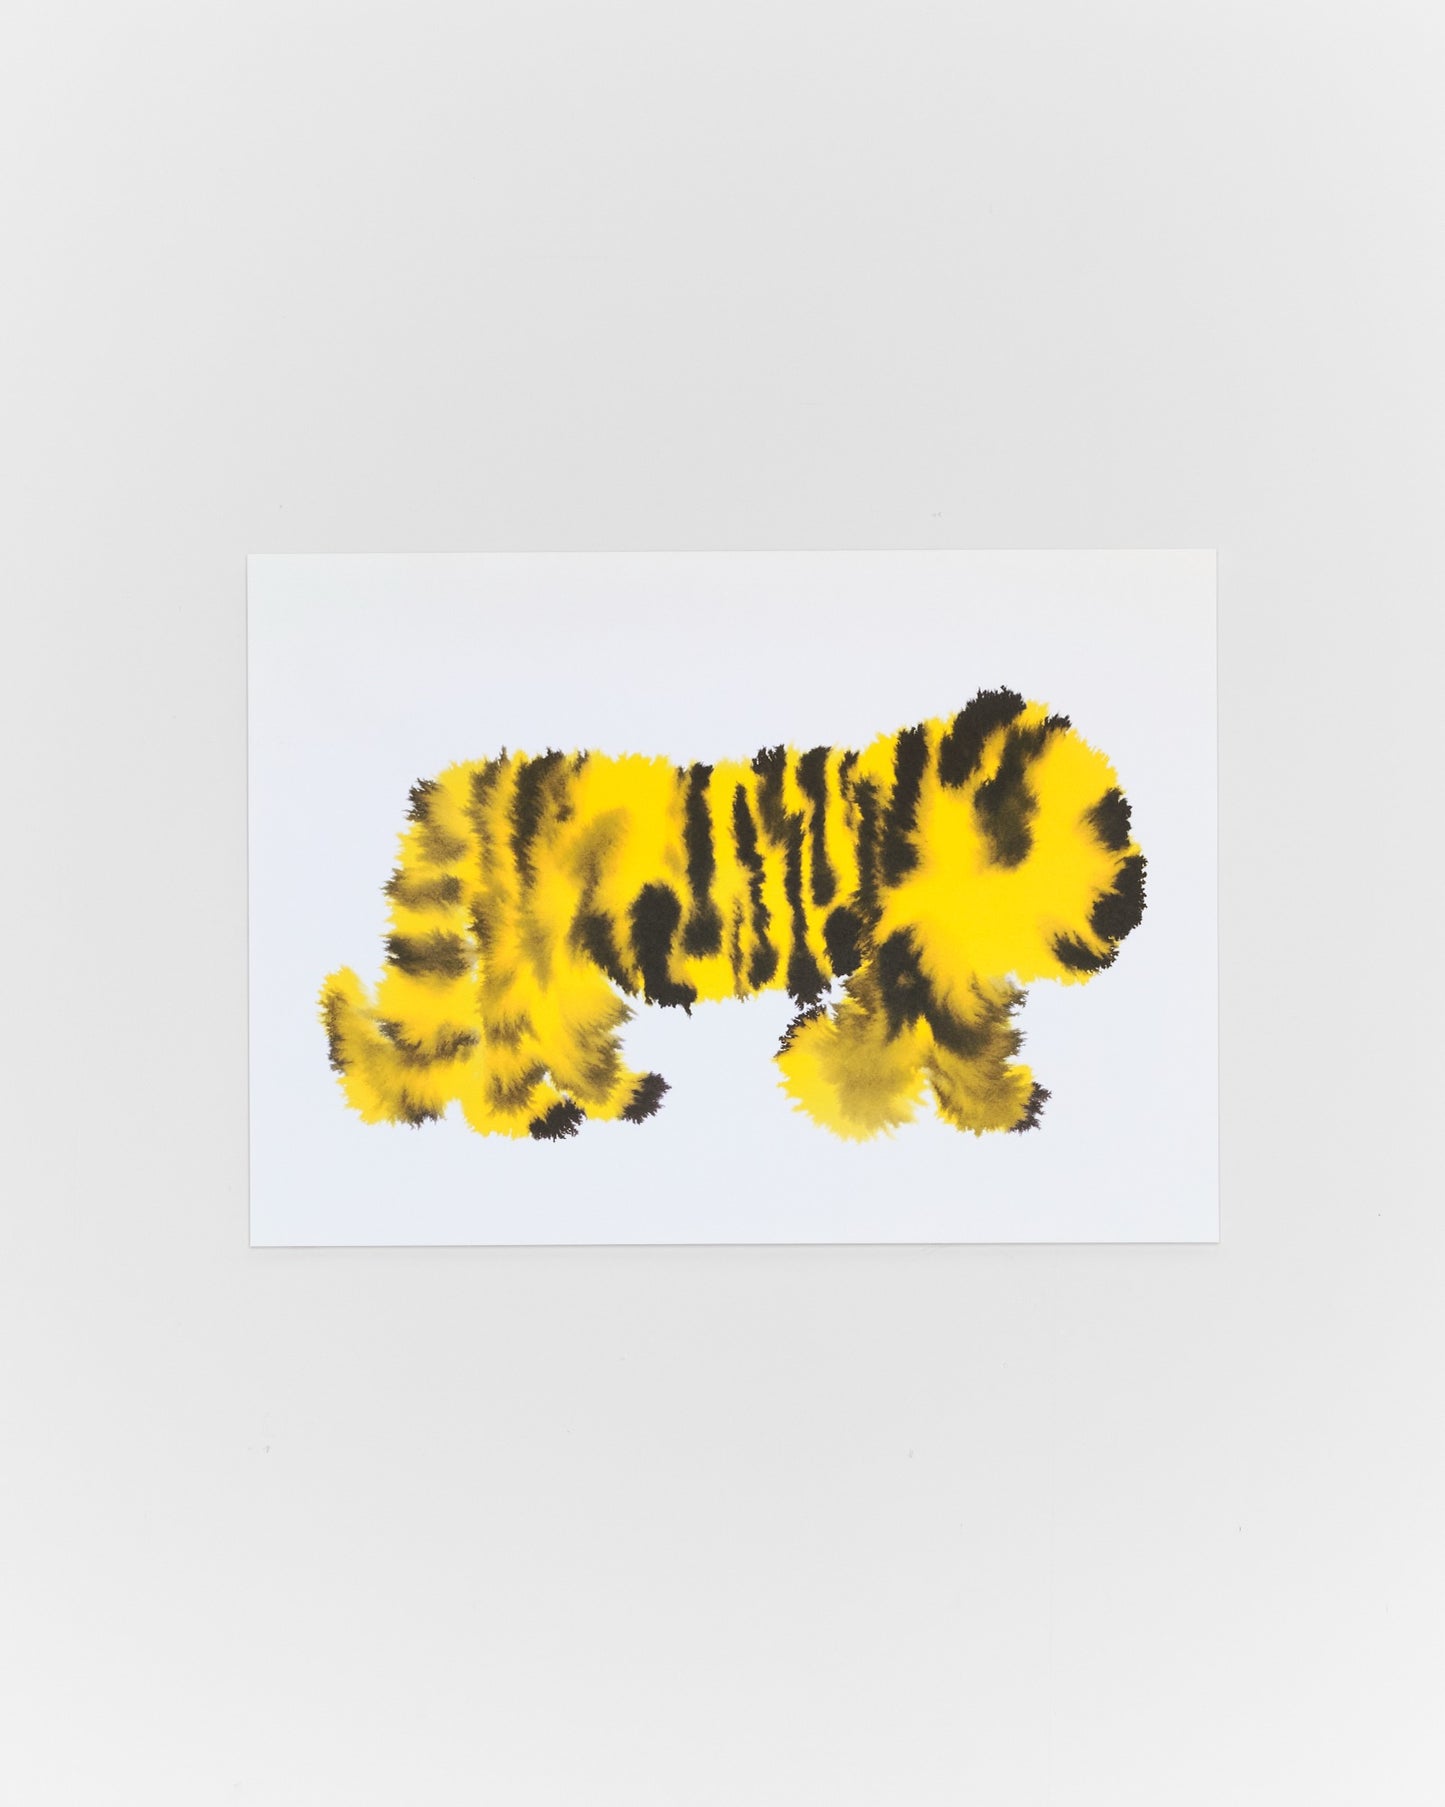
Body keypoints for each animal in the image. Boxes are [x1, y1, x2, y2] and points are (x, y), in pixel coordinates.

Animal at [319, 688, 1146, 1142]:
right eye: (1107, 828)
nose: (1135, 898)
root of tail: (489, 778)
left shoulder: (906, 959)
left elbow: (890, 1035)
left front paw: (836, 1087)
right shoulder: (923, 954)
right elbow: (956, 1041)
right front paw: (987, 1108)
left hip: (559, 953)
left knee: (561, 1026)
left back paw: (615, 1095)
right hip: (536, 948)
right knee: (513, 1032)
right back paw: (530, 1115)